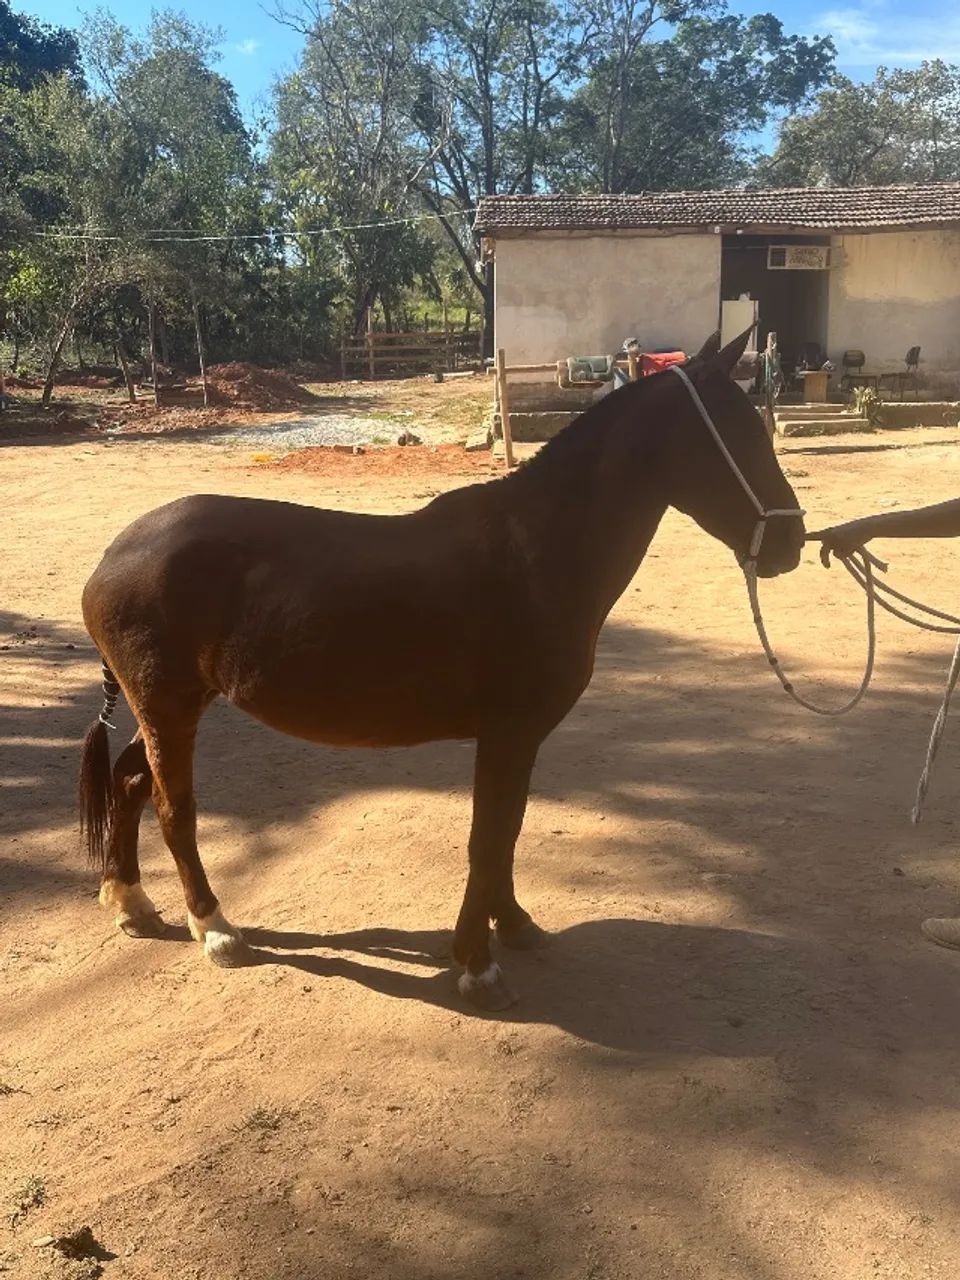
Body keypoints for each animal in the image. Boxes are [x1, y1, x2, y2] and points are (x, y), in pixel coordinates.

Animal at [78, 327, 804, 1009]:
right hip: (169, 708)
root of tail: (114, 553)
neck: (537, 553)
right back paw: (215, 928)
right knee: (173, 808)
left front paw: (513, 924)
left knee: (131, 782)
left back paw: (131, 902)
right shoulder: (506, 733)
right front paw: (477, 964)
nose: (791, 542)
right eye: (735, 435)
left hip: (174, 706)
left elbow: (508, 831)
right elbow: (488, 838)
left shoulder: (521, 738)